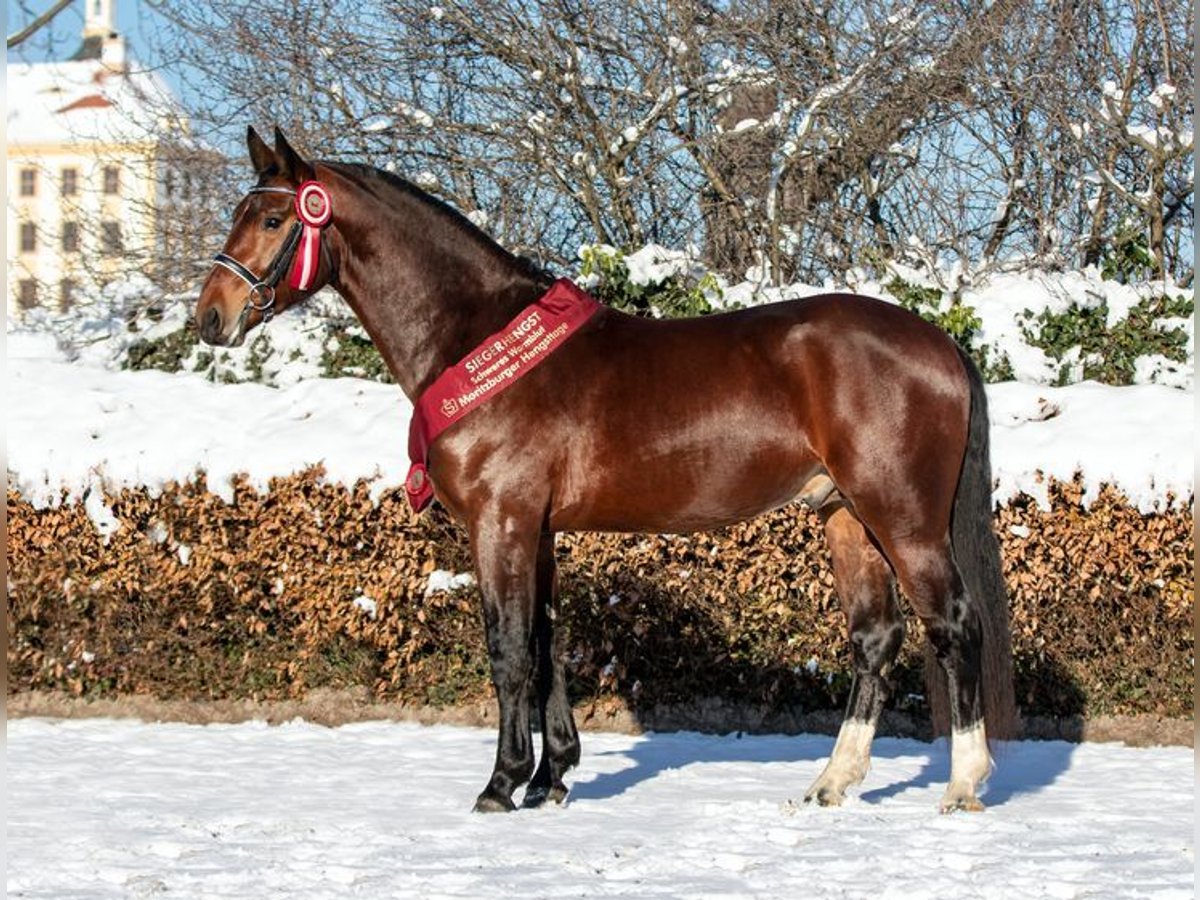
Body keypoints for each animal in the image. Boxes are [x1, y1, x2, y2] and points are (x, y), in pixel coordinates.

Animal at [194, 125, 1012, 816]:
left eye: (274, 219)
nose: (210, 317)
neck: (476, 336)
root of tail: (939, 343)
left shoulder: (501, 522)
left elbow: (508, 652)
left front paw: (500, 786)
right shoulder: (538, 531)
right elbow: (547, 646)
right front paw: (551, 778)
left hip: (902, 518)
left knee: (953, 623)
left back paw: (963, 785)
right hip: (845, 515)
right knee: (875, 638)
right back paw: (832, 784)